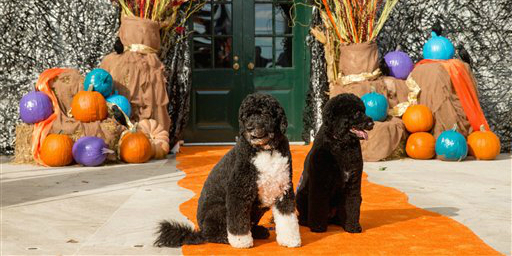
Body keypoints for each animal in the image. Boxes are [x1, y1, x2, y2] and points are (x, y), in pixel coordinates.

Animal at [154, 93, 302, 248]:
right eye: (245, 116)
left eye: (264, 113)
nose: (249, 128)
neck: (266, 150)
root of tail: (199, 231)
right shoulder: (238, 191)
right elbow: (238, 221)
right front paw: (241, 241)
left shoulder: (283, 188)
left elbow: (288, 217)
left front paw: (290, 239)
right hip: (219, 210)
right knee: (212, 234)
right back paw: (225, 238)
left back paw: (258, 232)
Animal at [294, 93, 374, 234]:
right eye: (356, 113)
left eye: (364, 111)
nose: (372, 123)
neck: (341, 144)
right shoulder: (320, 182)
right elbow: (318, 205)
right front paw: (318, 228)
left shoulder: (353, 182)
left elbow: (352, 205)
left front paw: (352, 227)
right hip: (301, 195)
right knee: (303, 215)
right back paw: (306, 222)